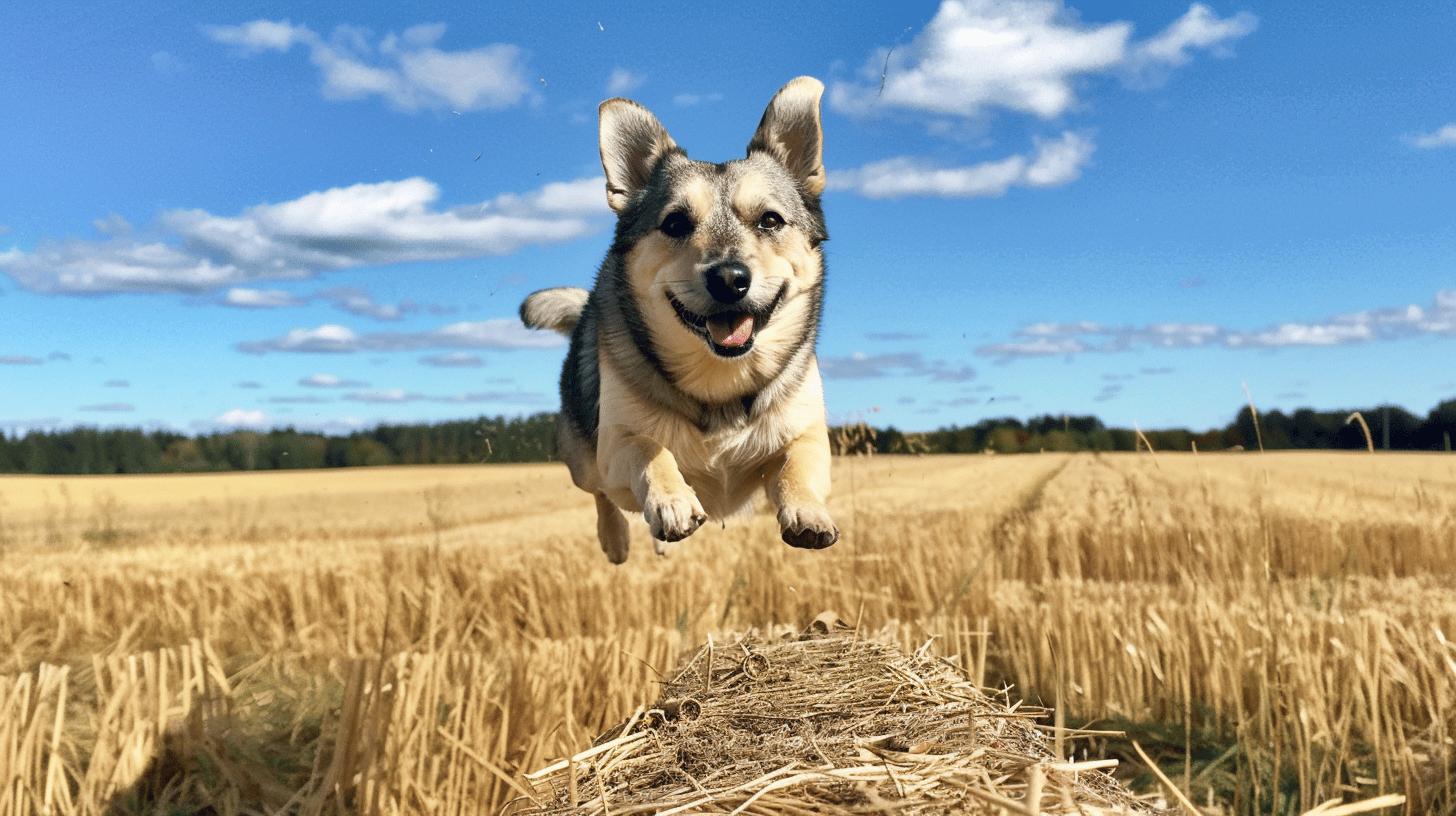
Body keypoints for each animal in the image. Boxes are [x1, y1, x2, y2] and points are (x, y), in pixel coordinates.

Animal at [524, 75, 844, 559]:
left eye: (770, 220)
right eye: (675, 223)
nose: (729, 279)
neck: (720, 382)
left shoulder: (804, 433)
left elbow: (796, 463)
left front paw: (808, 511)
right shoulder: (615, 444)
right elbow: (648, 447)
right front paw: (671, 501)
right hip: (582, 456)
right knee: (600, 493)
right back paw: (616, 539)